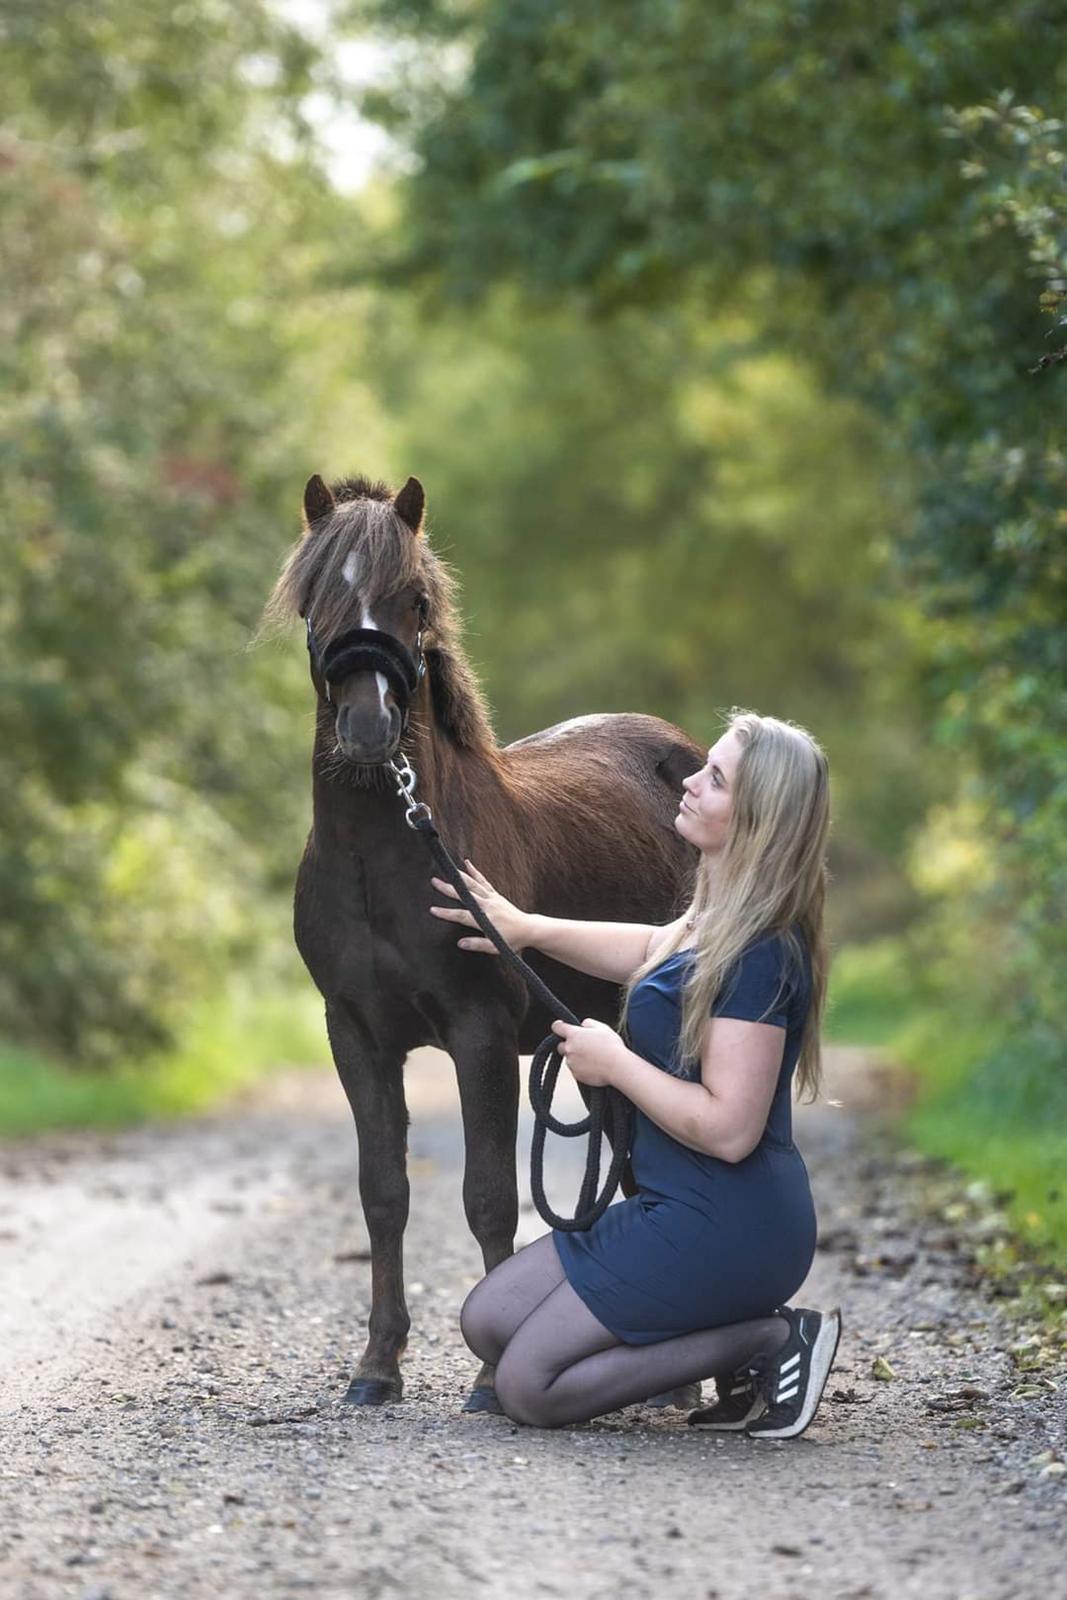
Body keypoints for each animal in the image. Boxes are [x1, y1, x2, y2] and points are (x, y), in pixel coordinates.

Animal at [265, 467, 710, 1408]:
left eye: (415, 598)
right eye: (315, 595)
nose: (368, 728)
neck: (389, 854)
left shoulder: (478, 1033)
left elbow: (487, 1196)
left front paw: (484, 1377)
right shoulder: (354, 1034)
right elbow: (384, 1193)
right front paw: (376, 1367)